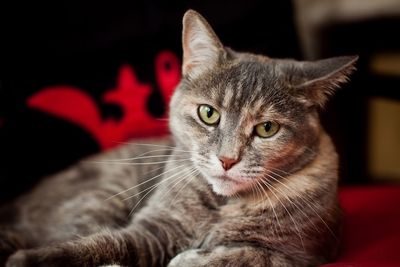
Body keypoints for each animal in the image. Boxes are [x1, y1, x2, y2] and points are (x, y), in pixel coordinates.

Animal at [0, 9, 356, 266]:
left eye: (267, 129)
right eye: (208, 113)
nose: (227, 160)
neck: (221, 206)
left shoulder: (303, 252)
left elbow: (249, 255)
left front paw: (192, 259)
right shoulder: (155, 228)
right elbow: (104, 242)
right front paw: (33, 260)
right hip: (101, 195)